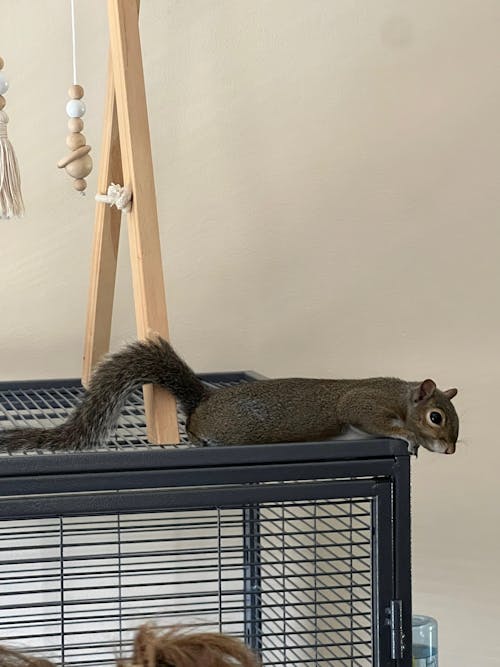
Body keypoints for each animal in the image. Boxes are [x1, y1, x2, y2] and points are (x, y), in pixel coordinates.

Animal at [0, 337, 459, 455]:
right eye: (436, 417)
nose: (451, 450)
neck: (400, 395)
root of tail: (204, 400)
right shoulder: (364, 402)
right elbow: (374, 421)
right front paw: (407, 437)